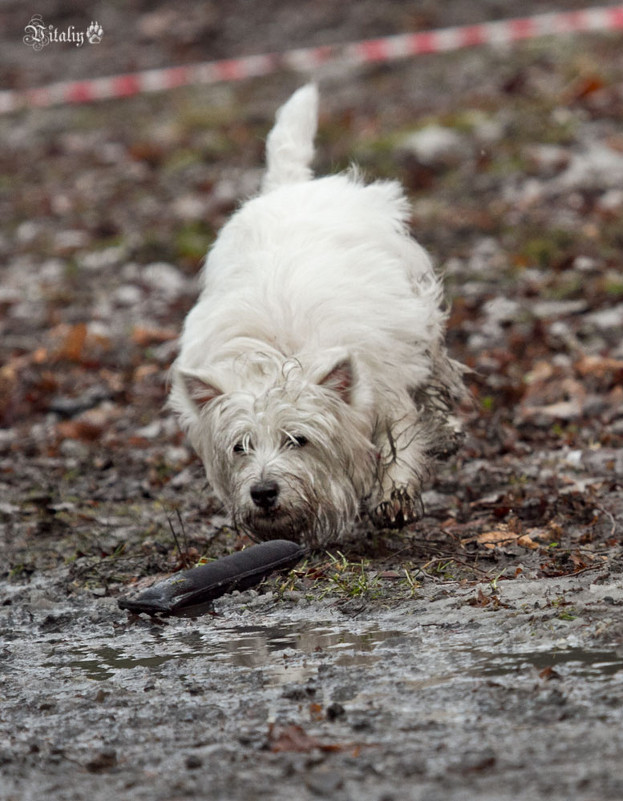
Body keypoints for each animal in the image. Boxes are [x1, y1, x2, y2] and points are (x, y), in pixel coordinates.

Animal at [168, 84, 466, 548]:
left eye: (298, 439)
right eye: (240, 447)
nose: (263, 492)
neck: (278, 354)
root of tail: (288, 187)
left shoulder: (385, 381)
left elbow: (399, 437)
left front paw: (394, 495)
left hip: (418, 311)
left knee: (433, 373)